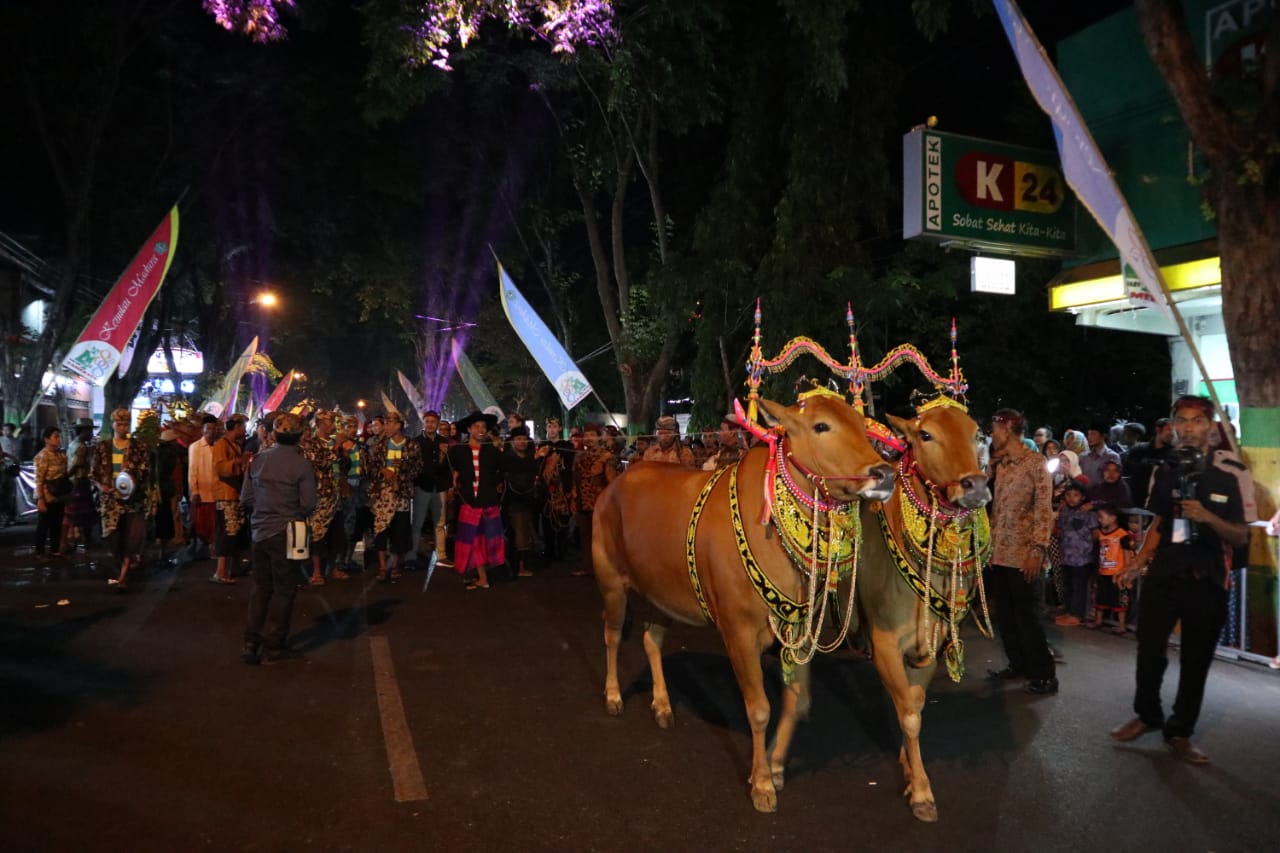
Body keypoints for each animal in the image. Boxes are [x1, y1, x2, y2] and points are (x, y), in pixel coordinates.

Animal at [593, 394, 896, 809]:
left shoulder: (796, 630)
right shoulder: (737, 631)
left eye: (862, 424)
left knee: (650, 640)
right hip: (610, 581)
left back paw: (662, 705)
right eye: (821, 426)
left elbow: (798, 703)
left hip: (661, 592)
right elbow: (759, 709)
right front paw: (762, 784)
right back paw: (612, 696)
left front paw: (776, 766)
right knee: (610, 636)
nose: (884, 473)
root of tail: (615, 484)